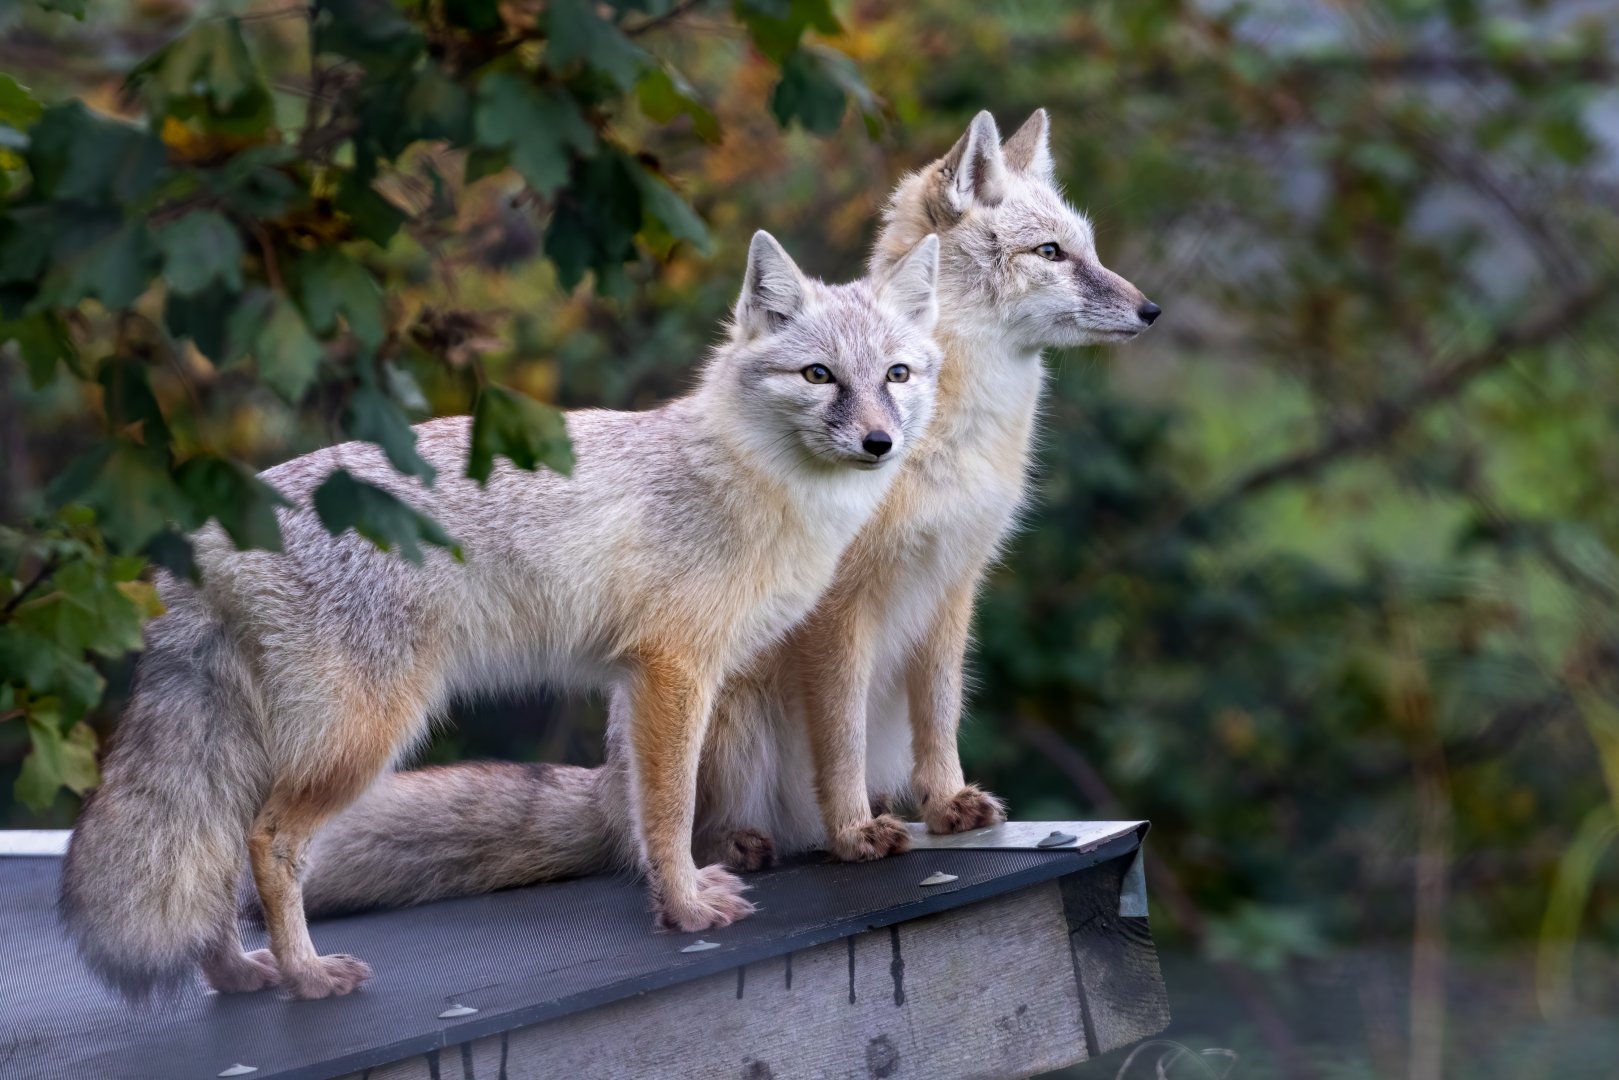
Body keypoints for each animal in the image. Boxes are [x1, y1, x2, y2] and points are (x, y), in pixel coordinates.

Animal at [58, 229, 944, 1001]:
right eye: (818, 375)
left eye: (896, 375)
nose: (877, 443)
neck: (750, 480)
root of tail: (215, 530)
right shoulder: (673, 670)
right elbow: (666, 809)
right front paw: (688, 907)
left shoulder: (641, 680)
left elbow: (642, 808)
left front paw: (674, 898)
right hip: (358, 740)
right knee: (264, 846)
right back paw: (306, 977)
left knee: (209, 859)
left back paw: (238, 973)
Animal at [288, 108, 1160, 917]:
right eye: (1051, 254)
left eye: (1086, 248)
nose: (1150, 310)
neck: (950, 439)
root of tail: (602, 786)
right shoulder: (836, 609)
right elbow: (837, 737)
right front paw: (852, 832)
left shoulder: (950, 585)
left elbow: (938, 715)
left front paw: (944, 805)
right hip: (718, 699)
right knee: (666, 823)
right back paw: (741, 847)